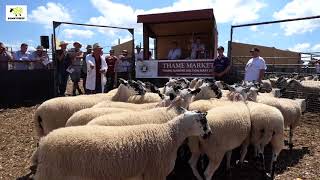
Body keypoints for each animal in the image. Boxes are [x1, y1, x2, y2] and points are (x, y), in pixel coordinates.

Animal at [33, 109, 212, 180]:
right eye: (203, 121)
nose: (209, 133)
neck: (170, 135)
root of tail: (45, 142)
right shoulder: (155, 173)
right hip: (50, 173)